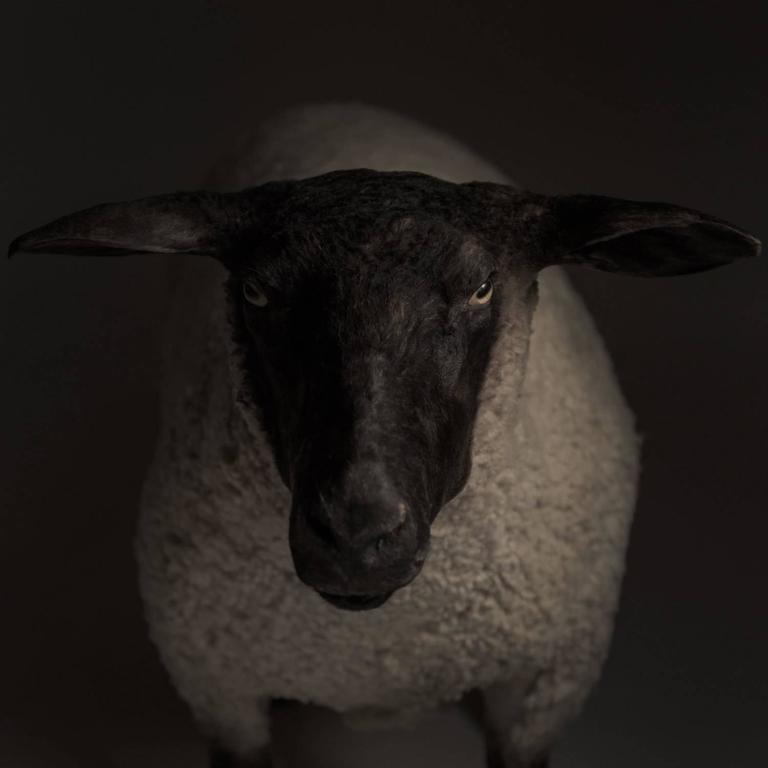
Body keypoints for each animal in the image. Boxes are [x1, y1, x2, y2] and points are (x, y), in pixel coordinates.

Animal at [9, 103, 760, 768]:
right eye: (255, 292)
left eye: (482, 287)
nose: (356, 536)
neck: (381, 645)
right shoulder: (220, 694)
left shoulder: (539, 697)